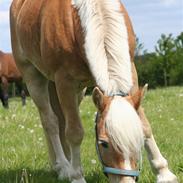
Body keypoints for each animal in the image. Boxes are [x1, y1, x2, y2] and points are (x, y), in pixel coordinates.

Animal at [9, 0, 177, 183]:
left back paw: (62, 164)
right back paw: (64, 166)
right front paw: (77, 176)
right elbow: (75, 132)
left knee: (61, 120)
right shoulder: (65, 81)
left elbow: (145, 125)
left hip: (75, 91)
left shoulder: (131, 70)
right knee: (50, 122)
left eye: (138, 141)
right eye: (104, 143)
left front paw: (164, 173)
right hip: (33, 77)